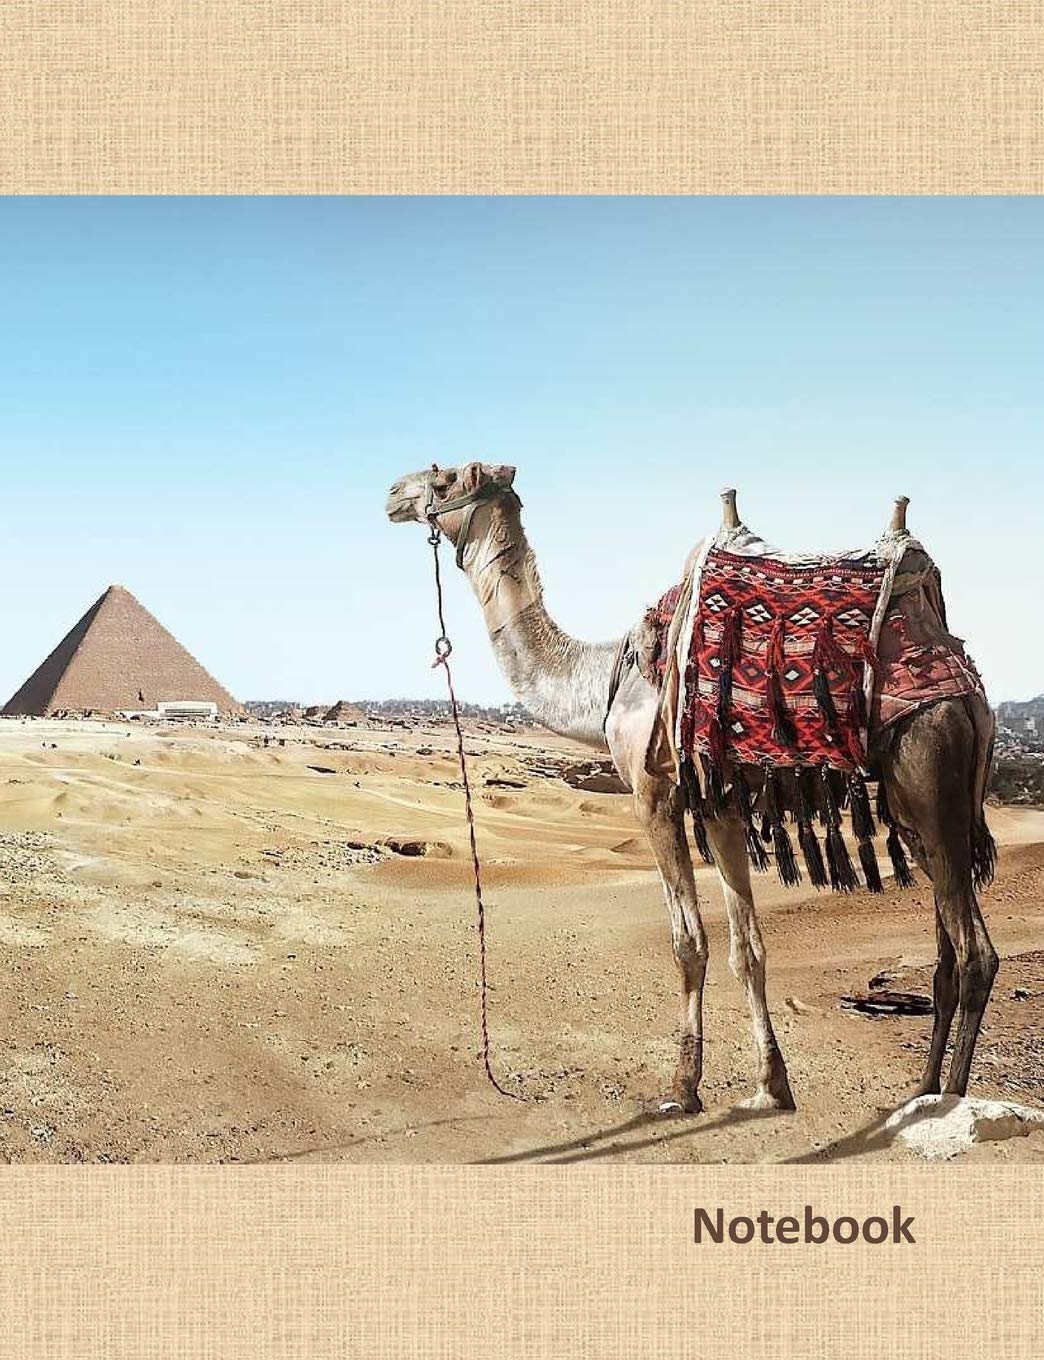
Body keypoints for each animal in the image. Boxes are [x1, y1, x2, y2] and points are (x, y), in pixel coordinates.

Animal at [386, 461, 998, 1115]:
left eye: (444, 478)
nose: (393, 494)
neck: (604, 679)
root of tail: (969, 693)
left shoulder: (652, 792)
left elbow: (689, 944)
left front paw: (682, 1087)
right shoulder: (718, 803)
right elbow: (748, 950)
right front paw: (772, 1085)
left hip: (931, 773)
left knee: (976, 956)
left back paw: (951, 1100)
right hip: (917, 815)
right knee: (948, 956)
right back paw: (921, 1092)